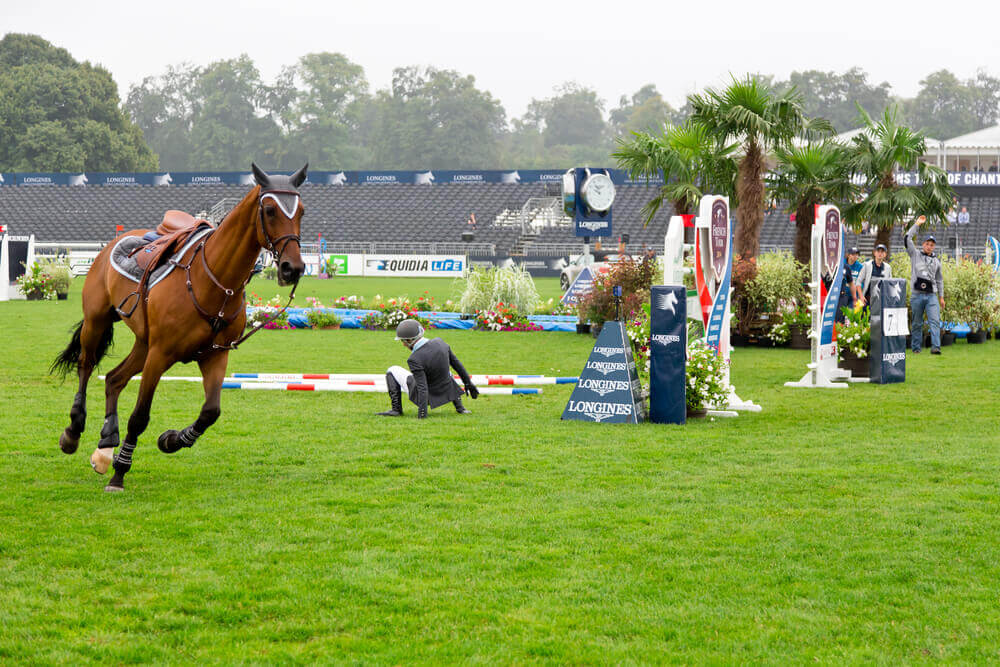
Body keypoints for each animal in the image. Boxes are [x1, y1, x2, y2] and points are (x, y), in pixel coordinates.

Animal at [50, 164, 306, 494]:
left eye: (301, 211)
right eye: (271, 210)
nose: (293, 268)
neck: (214, 281)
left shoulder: (214, 355)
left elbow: (210, 412)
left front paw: (171, 440)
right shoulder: (161, 354)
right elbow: (140, 416)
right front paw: (120, 472)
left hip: (143, 343)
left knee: (115, 379)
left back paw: (106, 445)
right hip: (98, 322)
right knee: (86, 365)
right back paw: (74, 431)